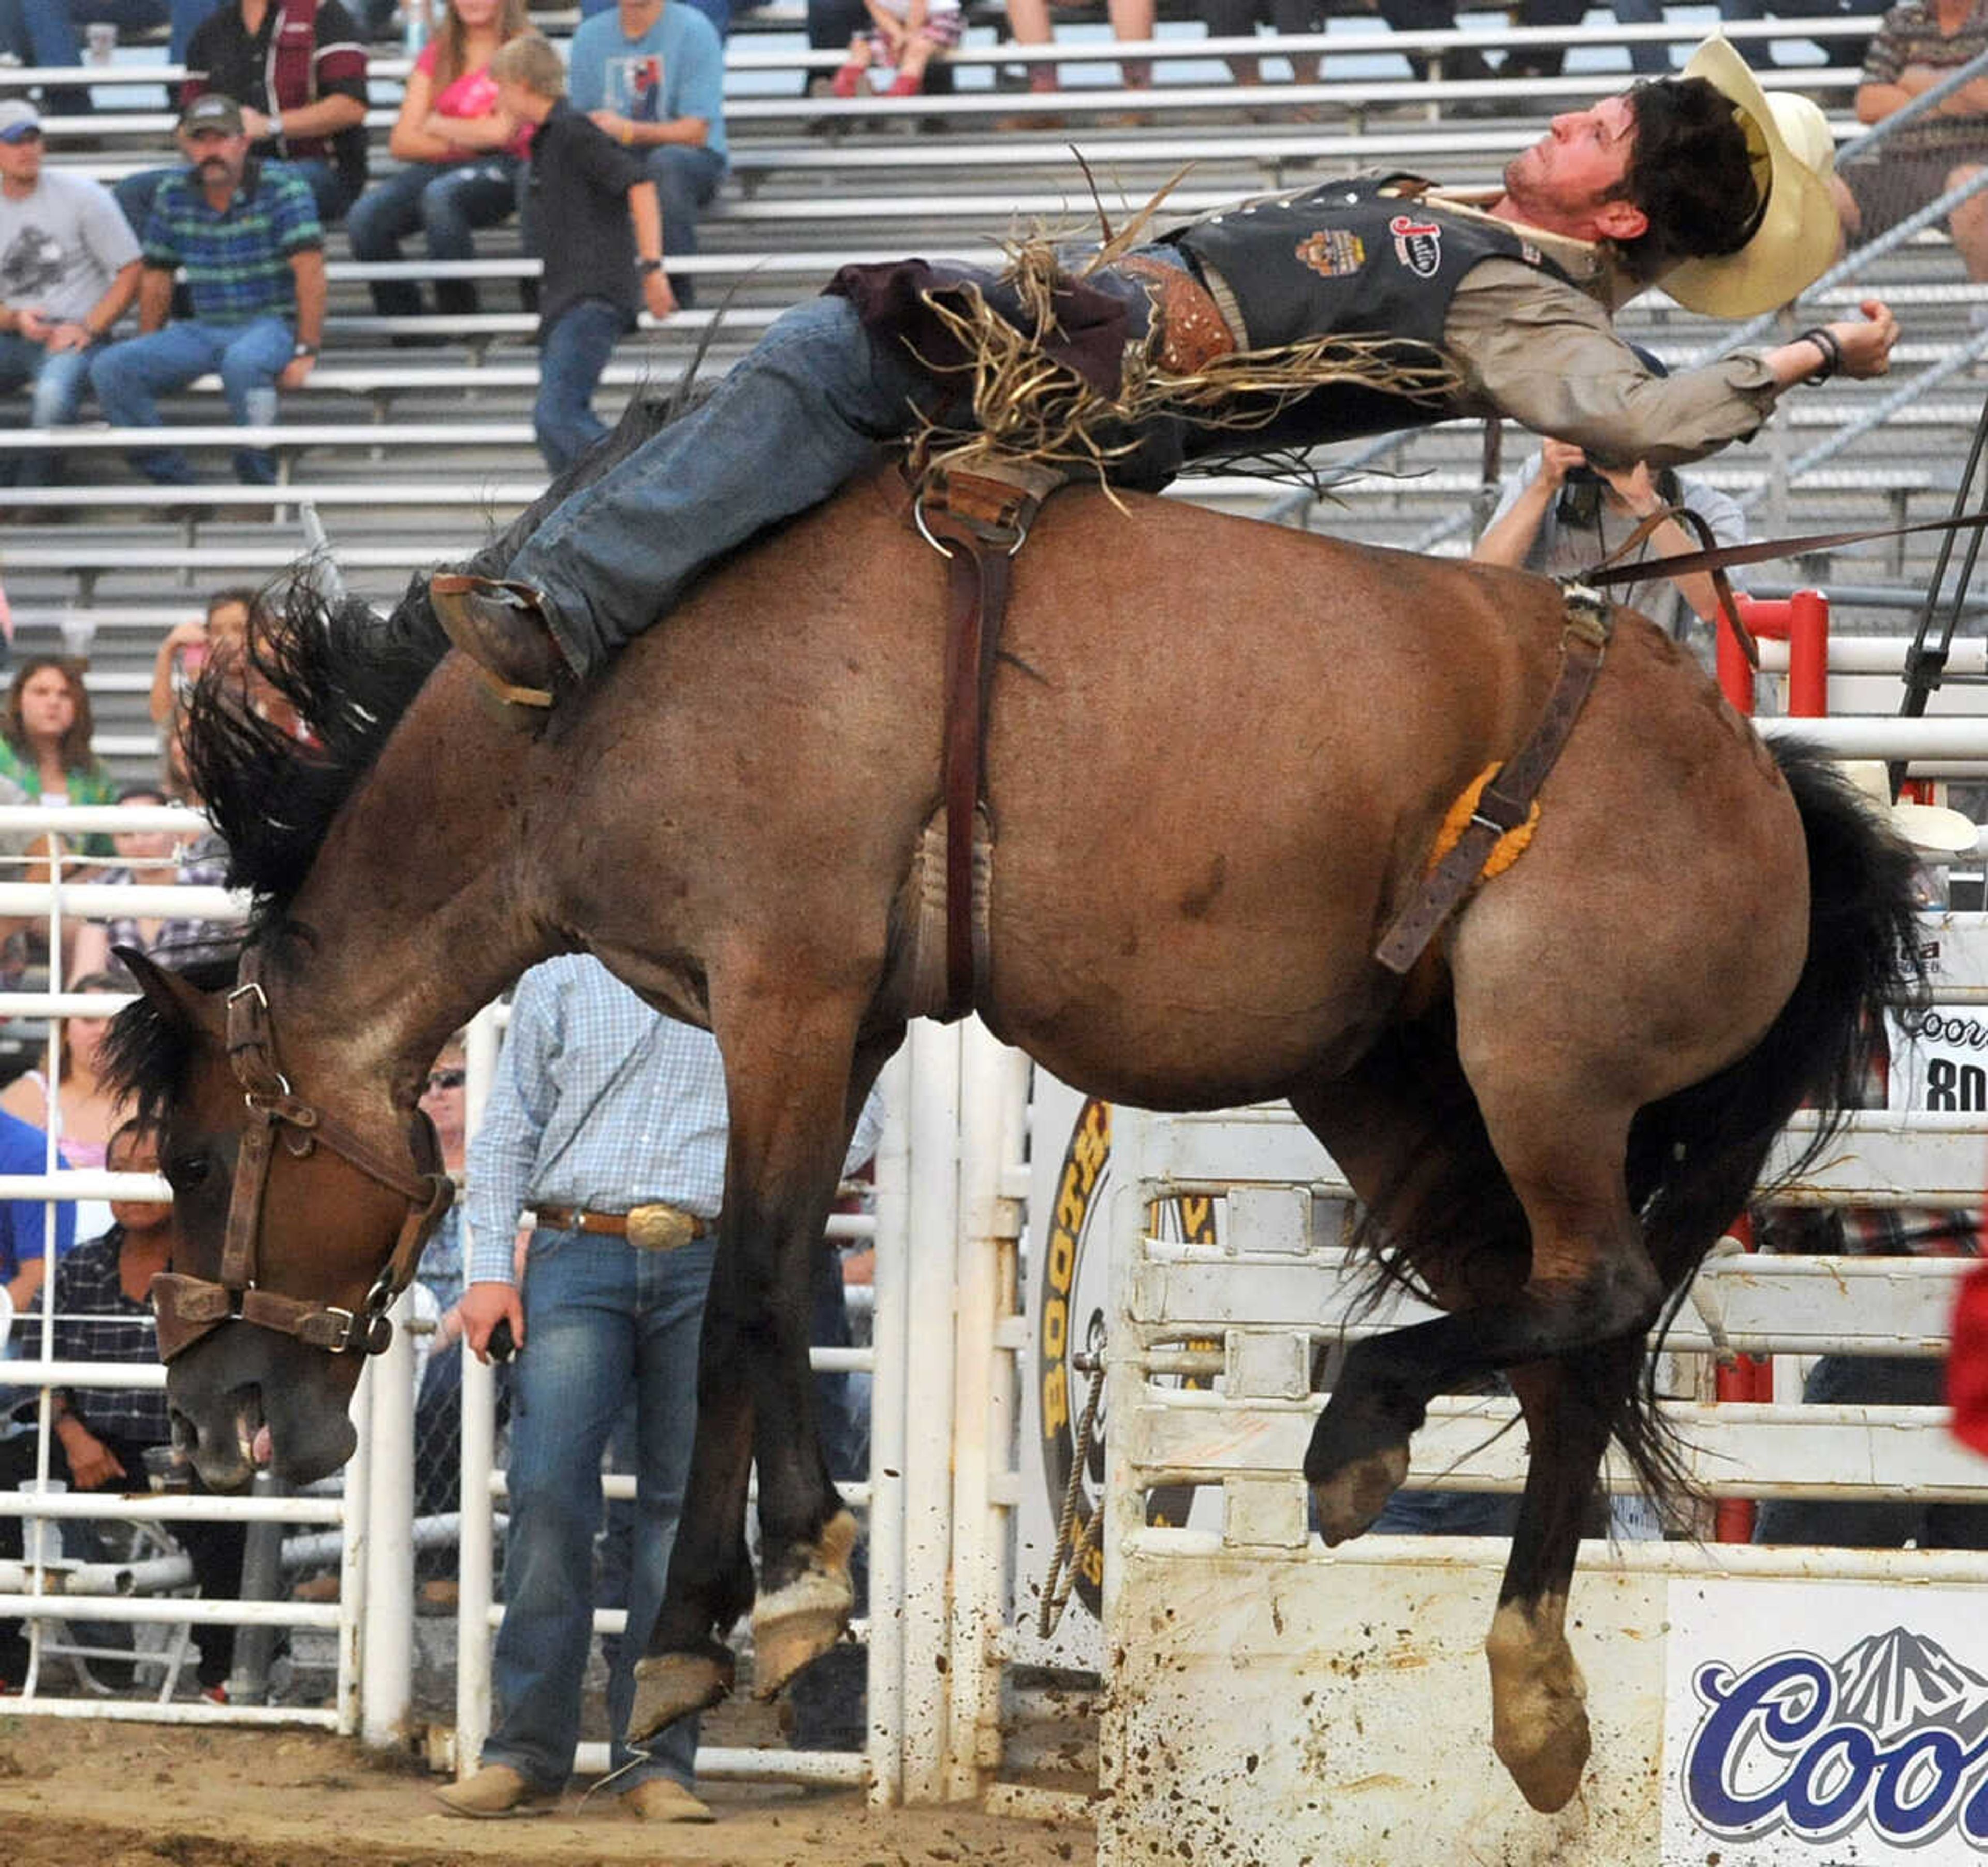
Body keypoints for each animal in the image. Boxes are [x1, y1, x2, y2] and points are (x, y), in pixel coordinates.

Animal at [105, 405, 1924, 1813]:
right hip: (1391, 1081)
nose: (209, 1413)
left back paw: (1359, 1433)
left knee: (1594, 1287)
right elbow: (775, 1292)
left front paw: (697, 1632)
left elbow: (745, 1290)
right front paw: (802, 1576)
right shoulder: (838, 1016)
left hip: (1539, 1062)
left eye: (192, 1150)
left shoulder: (781, 981)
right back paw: (1531, 1686)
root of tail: (1764, 776)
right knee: (1562, 1334)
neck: (585, 708)